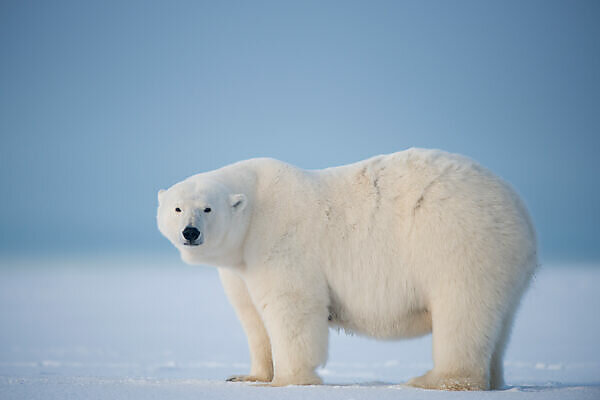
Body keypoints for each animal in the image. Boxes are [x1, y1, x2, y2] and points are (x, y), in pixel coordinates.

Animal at [157, 148, 536, 390]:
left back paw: (432, 380)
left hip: (458, 241)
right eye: (177, 208)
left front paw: (287, 380)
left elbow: (291, 307)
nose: (190, 232)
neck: (254, 208)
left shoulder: (279, 241)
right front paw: (249, 376)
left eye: (207, 208)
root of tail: (522, 214)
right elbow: (252, 317)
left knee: (461, 312)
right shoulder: (240, 267)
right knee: (498, 324)